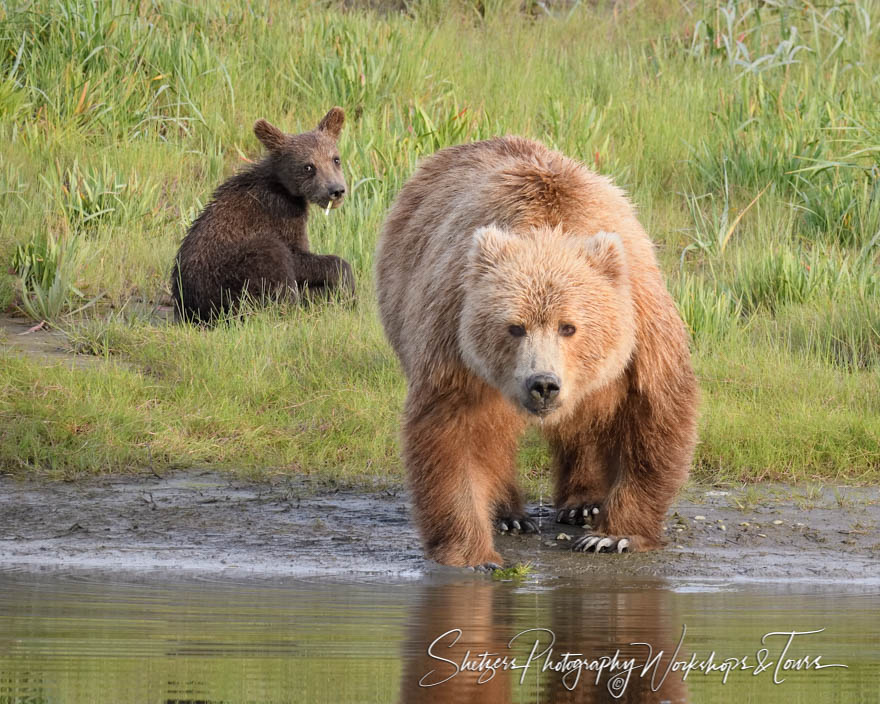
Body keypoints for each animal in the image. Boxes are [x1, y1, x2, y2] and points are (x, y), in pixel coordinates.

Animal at [171, 108, 354, 324]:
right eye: (308, 166)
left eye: (336, 159)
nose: (336, 190)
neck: (286, 189)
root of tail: (190, 310)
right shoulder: (280, 213)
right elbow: (297, 257)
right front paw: (346, 288)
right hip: (224, 280)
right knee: (271, 257)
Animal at [374, 136, 696, 568]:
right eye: (514, 327)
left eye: (569, 326)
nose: (543, 384)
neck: (548, 229)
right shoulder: (455, 341)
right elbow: (454, 436)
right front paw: (474, 553)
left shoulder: (639, 328)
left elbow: (654, 415)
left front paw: (611, 536)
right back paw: (509, 514)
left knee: (585, 426)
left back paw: (582, 504)